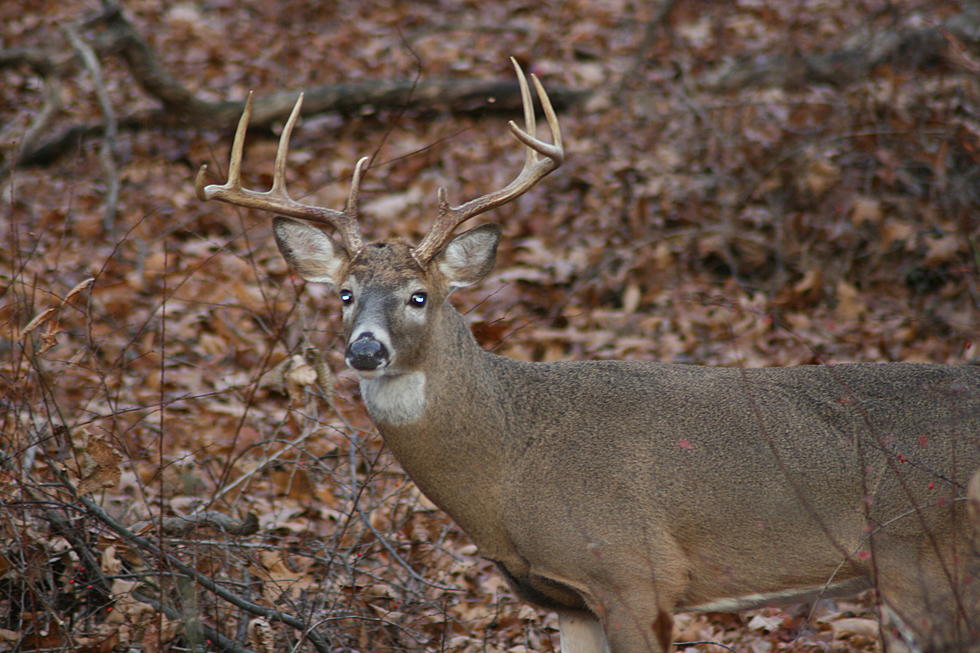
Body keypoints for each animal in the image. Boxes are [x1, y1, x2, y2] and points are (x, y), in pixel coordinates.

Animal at [199, 61, 980, 652]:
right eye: (344, 294)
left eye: (420, 295)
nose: (365, 347)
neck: (510, 462)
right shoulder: (568, 598)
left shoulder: (636, 574)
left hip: (926, 560)